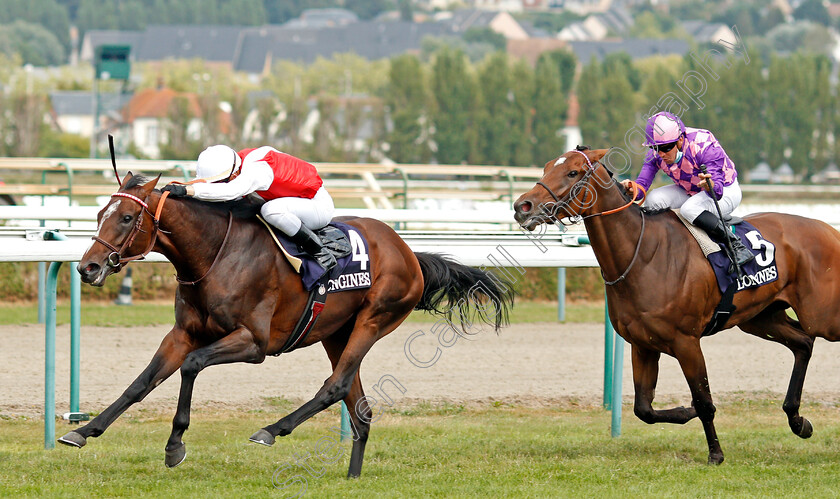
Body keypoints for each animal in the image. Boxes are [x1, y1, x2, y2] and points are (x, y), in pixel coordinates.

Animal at [59, 175, 512, 476]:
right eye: (99, 213)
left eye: (127, 217)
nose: (87, 267)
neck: (214, 254)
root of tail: (407, 250)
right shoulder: (182, 334)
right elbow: (141, 382)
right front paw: (84, 431)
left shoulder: (254, 343)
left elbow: (192, 365)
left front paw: (175, 445)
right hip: (336, 332)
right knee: (360, 406)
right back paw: (352, 476)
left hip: (373, 319)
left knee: (337, 386)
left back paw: (272, 429)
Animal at [516, 147, 840, 464]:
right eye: (546, 167)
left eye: (572, 172)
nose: (523, 206)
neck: (643, 255)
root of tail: (830, 231)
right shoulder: (642, 344)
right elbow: (644, 408)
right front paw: (687, 411)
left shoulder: (686, 342)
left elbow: (704, 401)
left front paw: (715, 453)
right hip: (761, 318)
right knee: (803, 342)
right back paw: (798, 421)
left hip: (821, 316)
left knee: (811, 337)